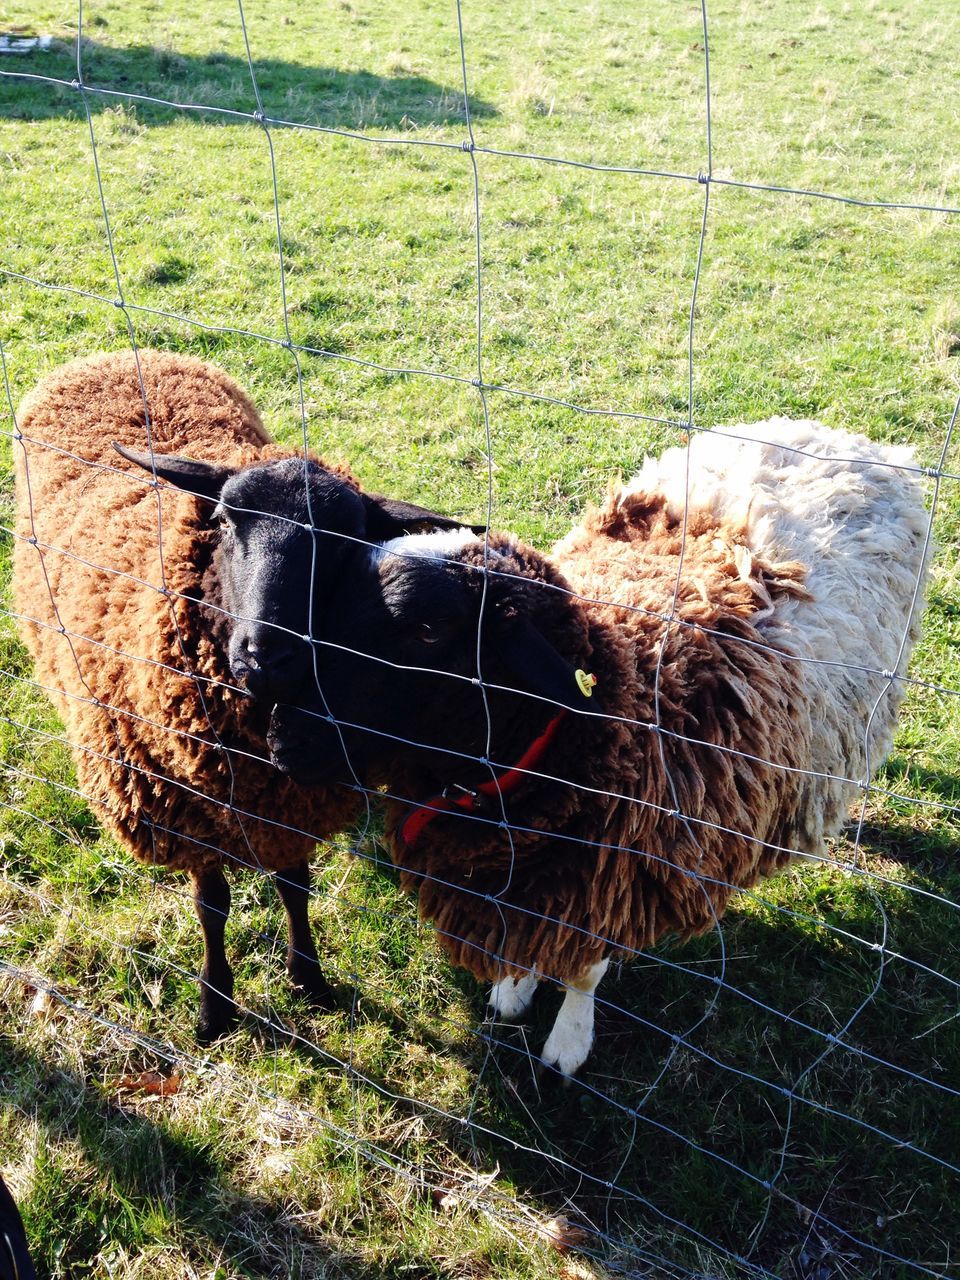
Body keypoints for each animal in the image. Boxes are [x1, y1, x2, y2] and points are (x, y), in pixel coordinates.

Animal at [12, 348, 465, 1039]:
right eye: (224, 522)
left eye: (347, 547)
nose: (264, 656)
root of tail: (112, 354)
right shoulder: (185, 806)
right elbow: (213, 904)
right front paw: (214, 1005)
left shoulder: (290, 803)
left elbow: (294, 885)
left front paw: (309, 979)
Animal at [268, 417, 931, 1070]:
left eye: (429, 632)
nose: (281, 736)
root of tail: (846, 438)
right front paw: (515, 989)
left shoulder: (617, 872)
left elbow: (584, 970)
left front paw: (567, 1042)